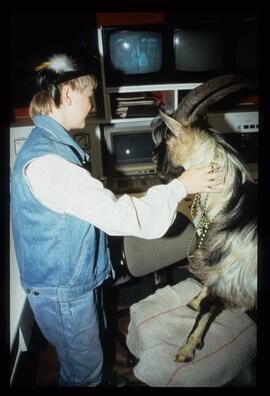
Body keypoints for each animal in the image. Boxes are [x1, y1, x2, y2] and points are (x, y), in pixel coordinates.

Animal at [152, 74, 258, 362]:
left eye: (168, 139)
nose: (154, 162)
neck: (230, 206)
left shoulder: (232, 273)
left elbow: (209, 307)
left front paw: (186, 350)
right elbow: (207, 292)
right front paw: (194, 300)